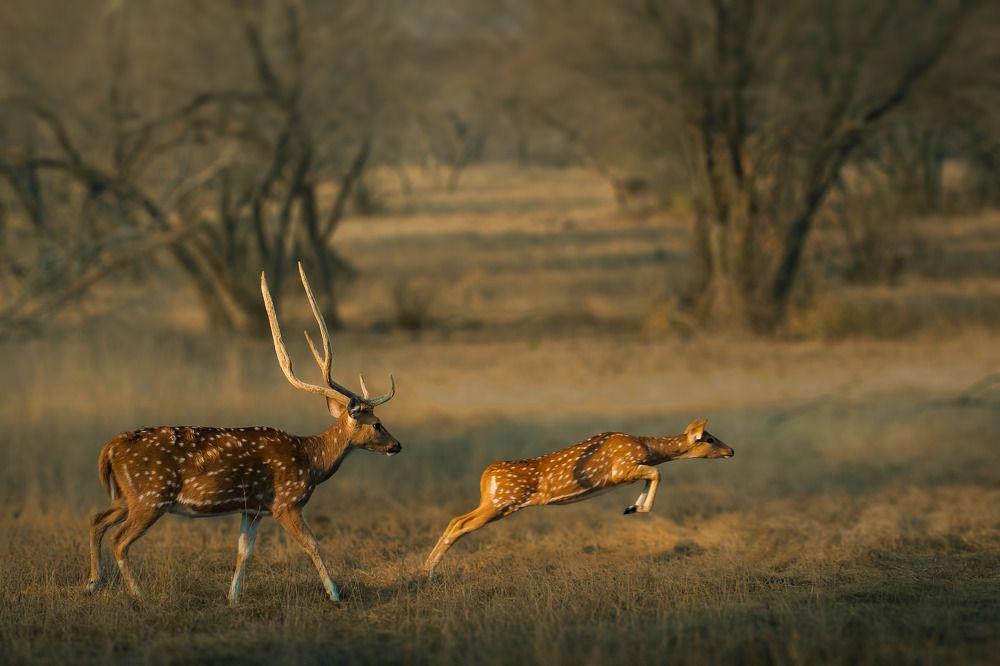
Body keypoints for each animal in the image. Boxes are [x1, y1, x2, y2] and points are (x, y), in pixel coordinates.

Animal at [86, 263, 400, 604]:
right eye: (376, 422)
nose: (396, 445)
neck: (311, 460)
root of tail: (110, 447)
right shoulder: (285, 503)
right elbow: (312, 543)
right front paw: (335, 592)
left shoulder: (253, 508)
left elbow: (243, 551)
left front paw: (233, 596)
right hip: (151, 495)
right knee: (119, 538)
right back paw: (137, 593)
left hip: (127, 495)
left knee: (96, 520)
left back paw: (92, 582)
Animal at [424, 419, 733, 574]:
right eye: (709, 439)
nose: (731, 450)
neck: (648, 448)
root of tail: (486, 475)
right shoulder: (620, 469)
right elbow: (656, 473)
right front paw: (637, 508)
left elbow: (653, 475)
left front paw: (631, 507)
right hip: (502, 502)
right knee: (460, 524)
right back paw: (428, 569)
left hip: (497, 503)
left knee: (455, 520)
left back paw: (426, 567)